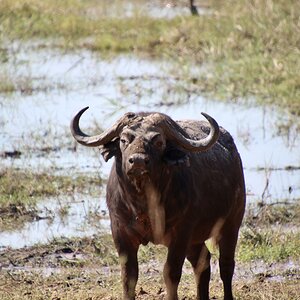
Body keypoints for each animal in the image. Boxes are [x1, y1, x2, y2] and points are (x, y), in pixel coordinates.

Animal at [71, 106, 246, 298]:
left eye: (158, 142)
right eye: (124, 140)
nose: (138, 161)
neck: (143, 205)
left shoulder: (181, 234)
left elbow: (170, 273)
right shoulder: (120, 232)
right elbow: (129, 276)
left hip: (231, 224)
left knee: (226, 265)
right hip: (196, 239)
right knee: (203, 264)